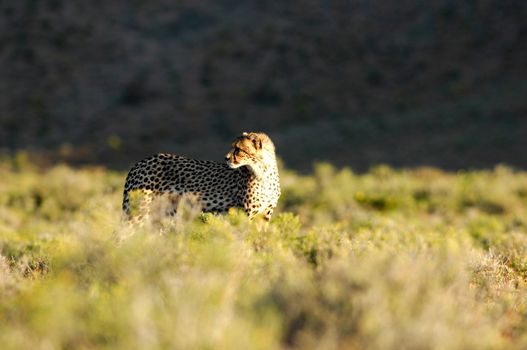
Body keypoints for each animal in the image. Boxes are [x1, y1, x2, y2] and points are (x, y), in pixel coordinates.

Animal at [122, 133, 282, 223]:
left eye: (238, 149)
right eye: (233, 147)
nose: (226, 158)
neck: (263, 172)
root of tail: (140, 161)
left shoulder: (265, 216)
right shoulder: (244, 213)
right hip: (139, 211)